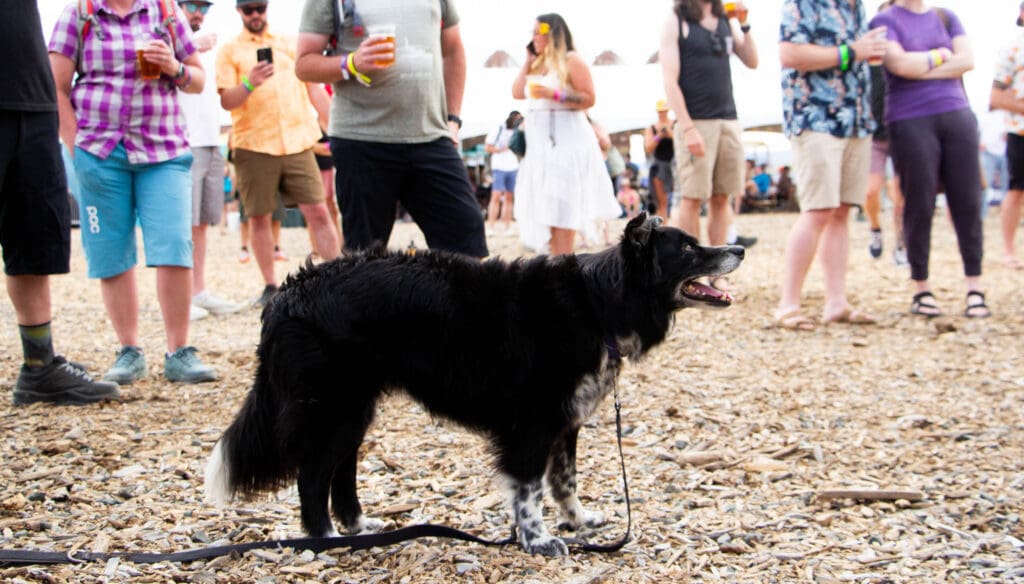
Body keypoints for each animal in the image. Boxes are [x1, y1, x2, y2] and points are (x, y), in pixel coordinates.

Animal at [203, 214, 745, 553]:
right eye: (689, 248)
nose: (737, 247)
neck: (597, 302)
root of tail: (287, 295)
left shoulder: (564, 423)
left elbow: (564, 479)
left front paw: (577, 521)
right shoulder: (531, 424)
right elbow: (529, 489)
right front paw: (538, 540)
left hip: (354, 408)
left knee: (342, 470)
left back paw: (359, 527)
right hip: (332, 405)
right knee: (312, 476)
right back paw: (328, 541)